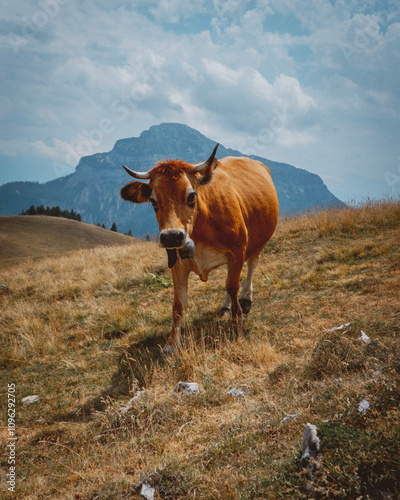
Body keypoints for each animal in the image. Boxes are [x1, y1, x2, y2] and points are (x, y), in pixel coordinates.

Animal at [120, 145, 280, 356]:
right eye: (153, 201)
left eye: (191, 196)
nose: (171, 236)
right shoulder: (177, 264)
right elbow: (178, 304)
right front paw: (171, 344)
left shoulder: (237, 250)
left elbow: (232, 286)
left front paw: (238, 323)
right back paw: (226, 306)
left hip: (258, 240)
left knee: (251, 265)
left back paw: (245, 299)